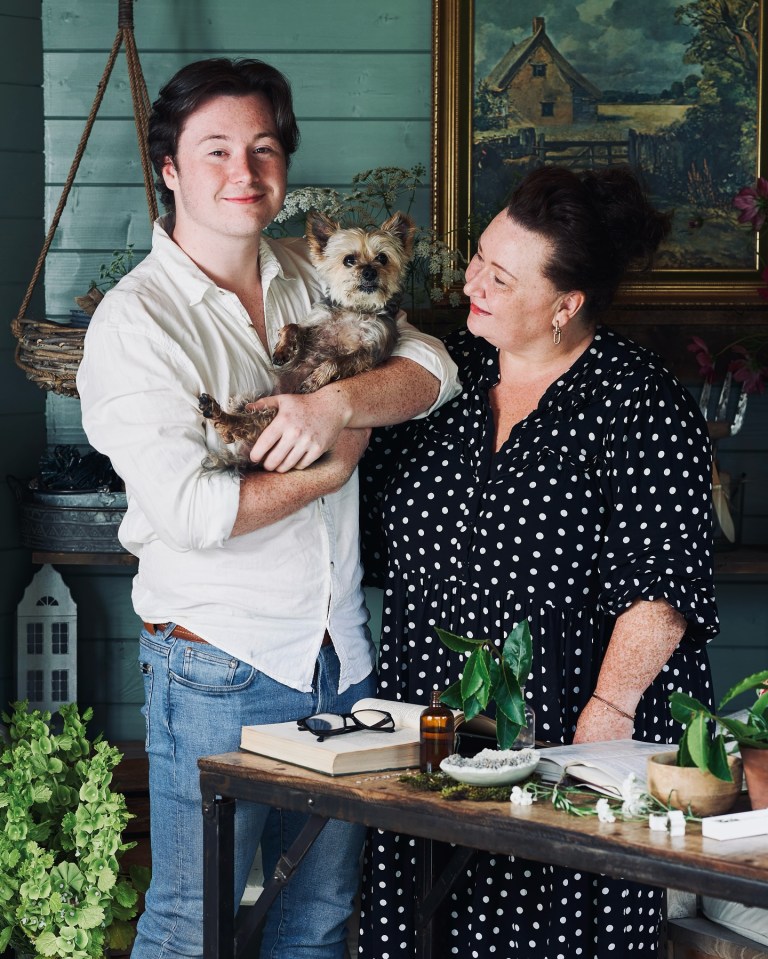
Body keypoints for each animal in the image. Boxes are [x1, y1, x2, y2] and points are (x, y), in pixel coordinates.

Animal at [198, 208, 414, 470]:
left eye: (382, 258)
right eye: (349, 260)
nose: (369, 272)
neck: (355, 309)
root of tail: (249, 458)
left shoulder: (370, 351)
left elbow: (336, 361)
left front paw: (315, 379)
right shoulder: (316, 323)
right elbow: (293, 327)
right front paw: (282, 351)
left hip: (272, 415)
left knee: (243, 427)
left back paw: (220, 416)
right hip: (257, 400)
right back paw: (219, 412)